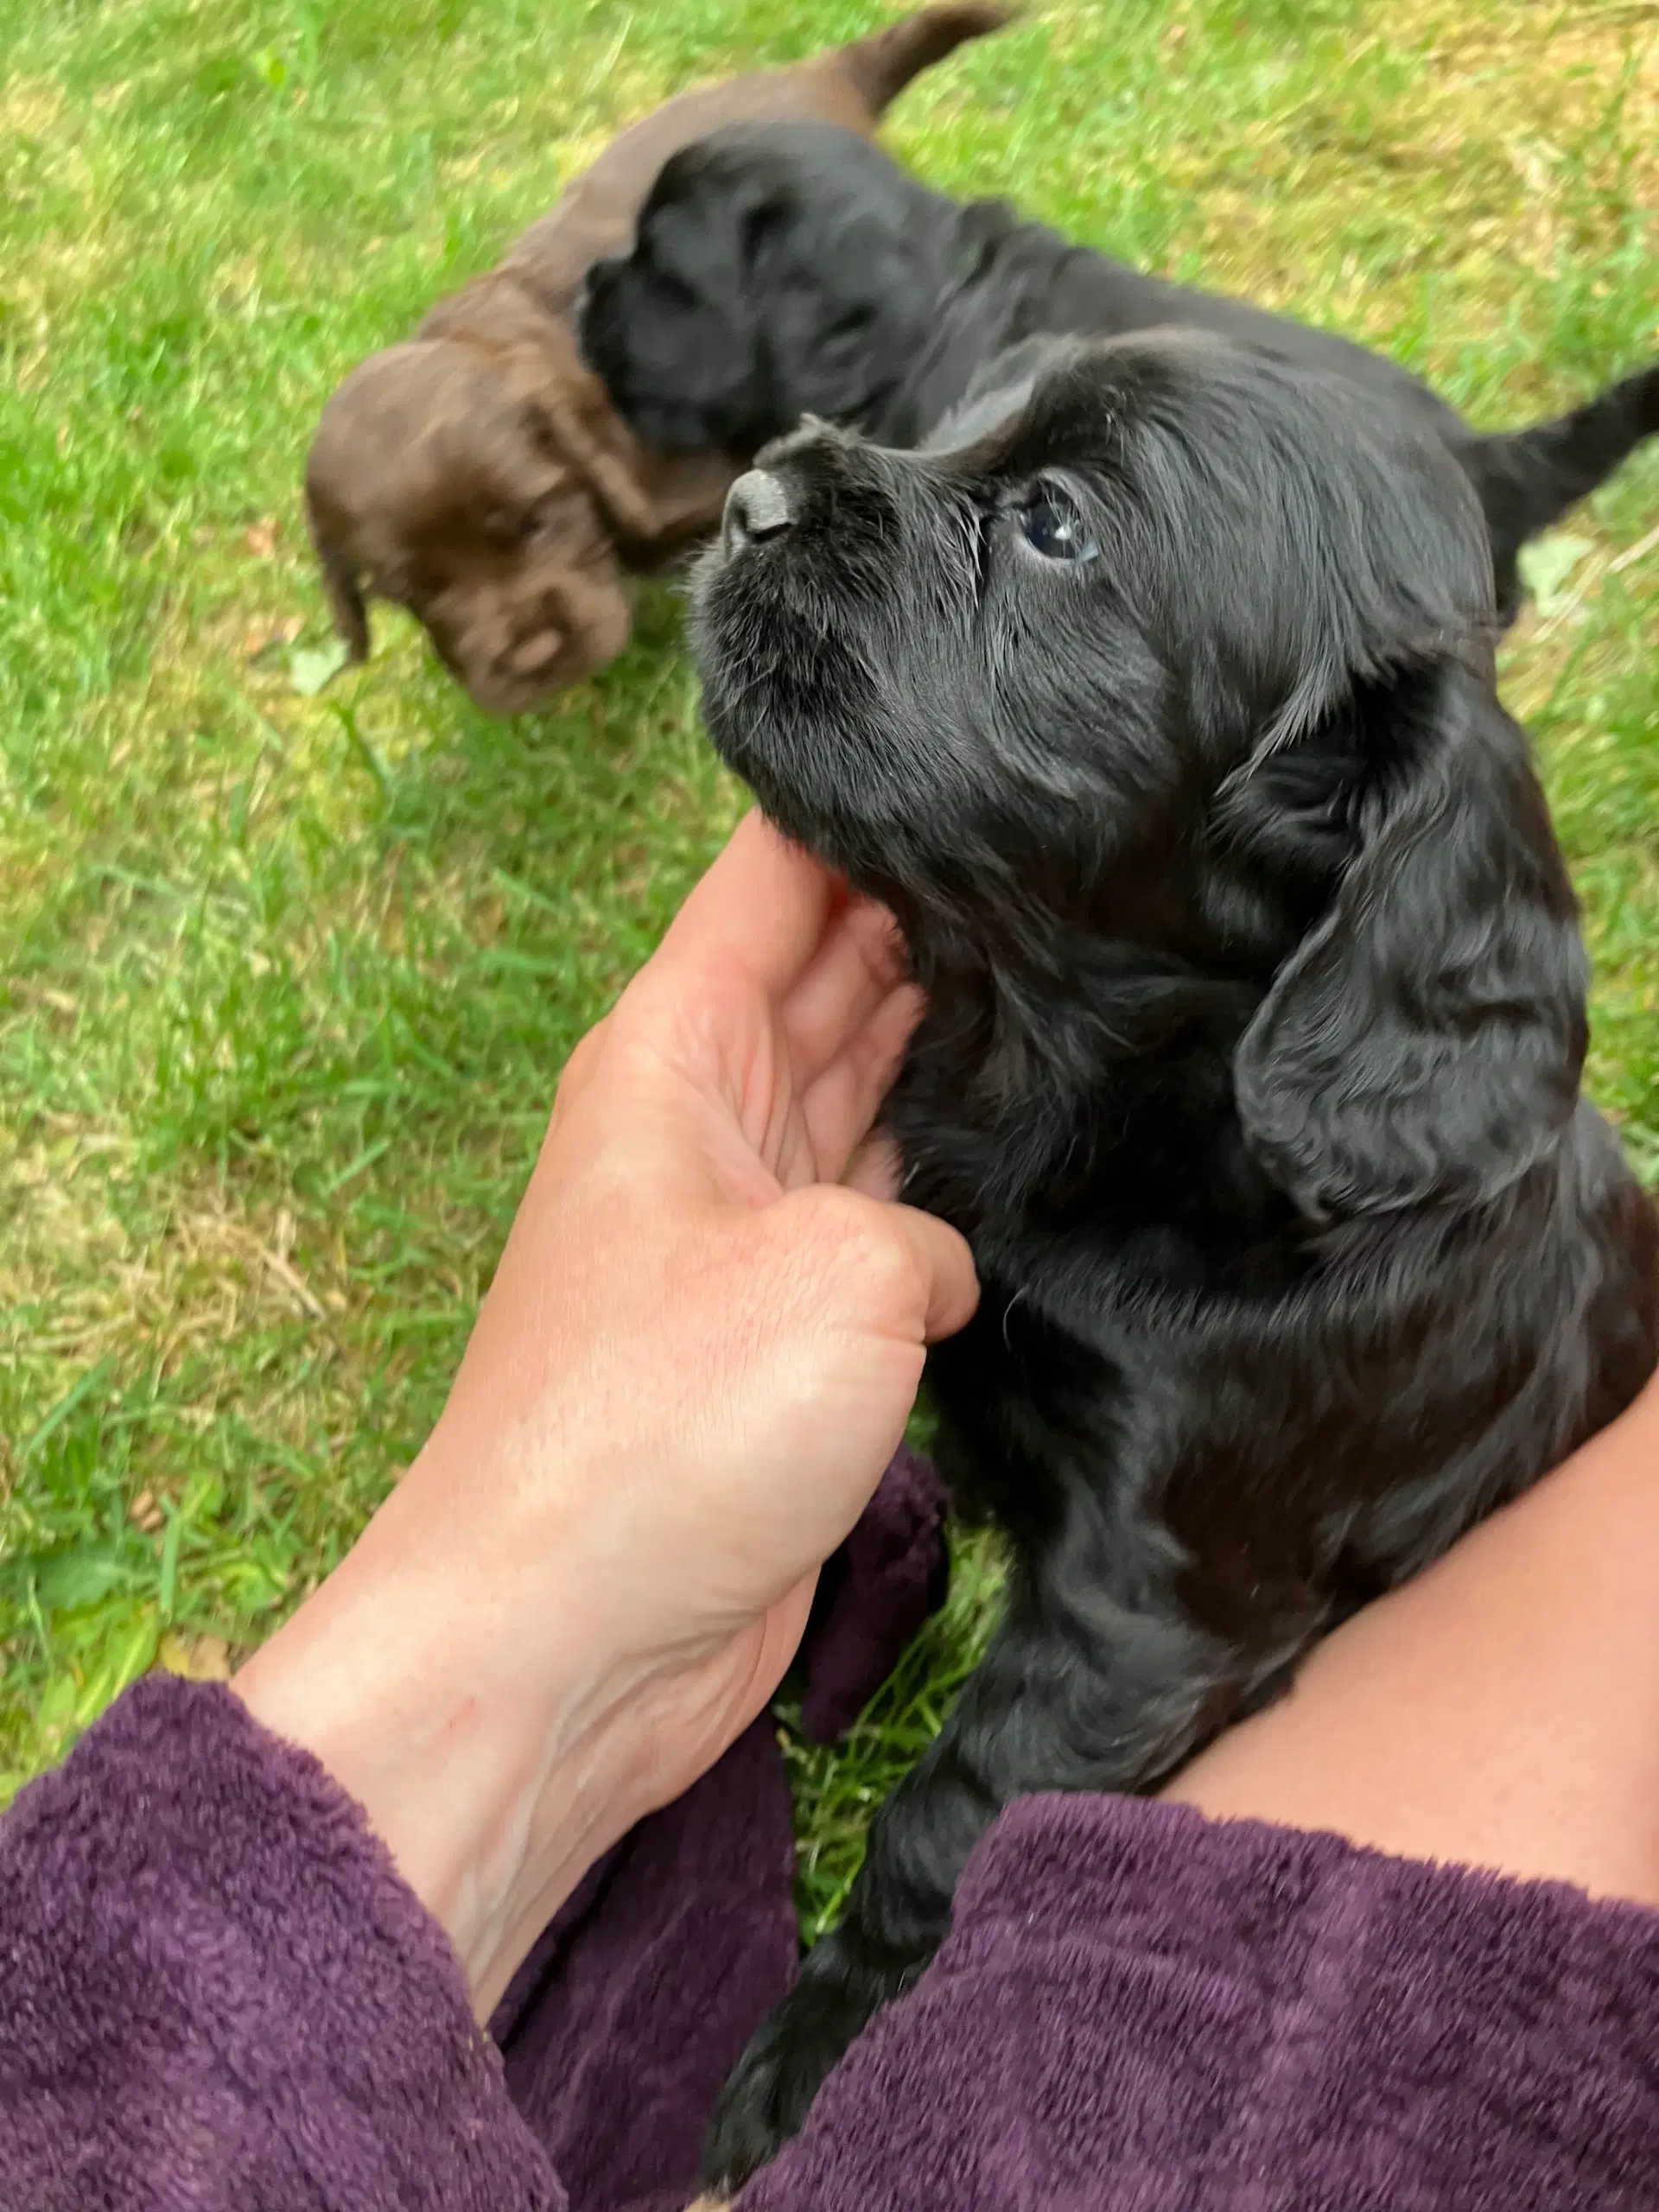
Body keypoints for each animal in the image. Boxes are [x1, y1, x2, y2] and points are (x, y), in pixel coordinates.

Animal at [690, 336, 1659, 2185]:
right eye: (959, 419)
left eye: (1058, 527)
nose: (746, 501)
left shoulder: (1149, 1612)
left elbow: (954, 1812)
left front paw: (811, 2053)